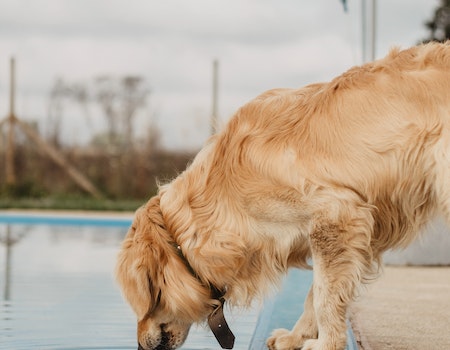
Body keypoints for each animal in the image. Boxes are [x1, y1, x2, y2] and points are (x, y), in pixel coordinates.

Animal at [117, 41, 450, 350]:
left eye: (145, 299)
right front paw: (295, 337)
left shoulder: (336, 216)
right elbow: (314, 293)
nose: (139, 345)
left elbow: (325, 296)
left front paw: (325, 343)